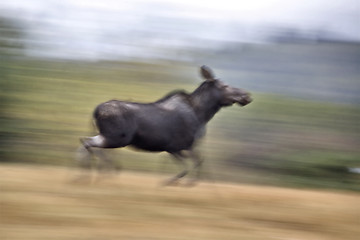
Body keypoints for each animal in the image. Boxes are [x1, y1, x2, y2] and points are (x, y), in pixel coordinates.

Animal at [78, 65, 253, 186]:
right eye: (224, 86)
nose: (246, 95)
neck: (202, 115)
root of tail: (95, 111)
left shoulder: (180, 148)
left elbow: (196, 162)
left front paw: (184, 182)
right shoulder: (175, 147)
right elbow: (189, 166)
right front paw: (173, 182)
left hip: (109, 136)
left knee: (87, 144)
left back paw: (95, 174)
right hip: (117, 138)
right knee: (87, 143)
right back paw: (96, 173)